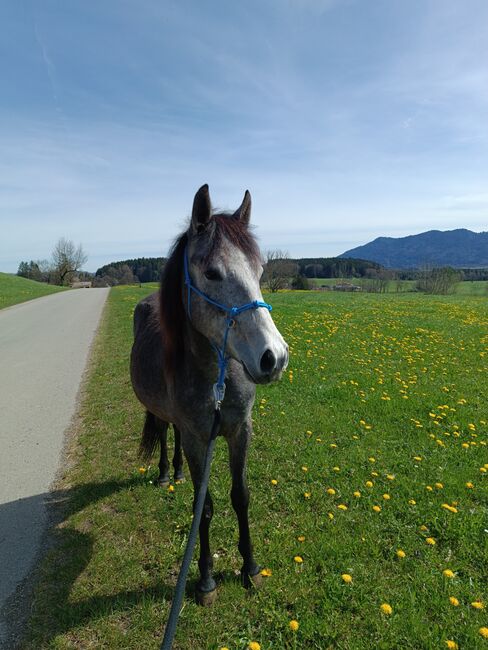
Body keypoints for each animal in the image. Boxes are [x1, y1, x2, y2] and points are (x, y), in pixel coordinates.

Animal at [131, 182, 290, 604]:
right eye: (213, 273)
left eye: (260, 270)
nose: (274, 357)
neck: (216, 379)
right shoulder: (197, 438)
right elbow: (203, 509)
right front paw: (205, 578)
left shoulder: (240, 430)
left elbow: (241, 496)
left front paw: (250, 567)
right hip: (164, 416)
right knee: (164, 432)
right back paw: (166, 473)